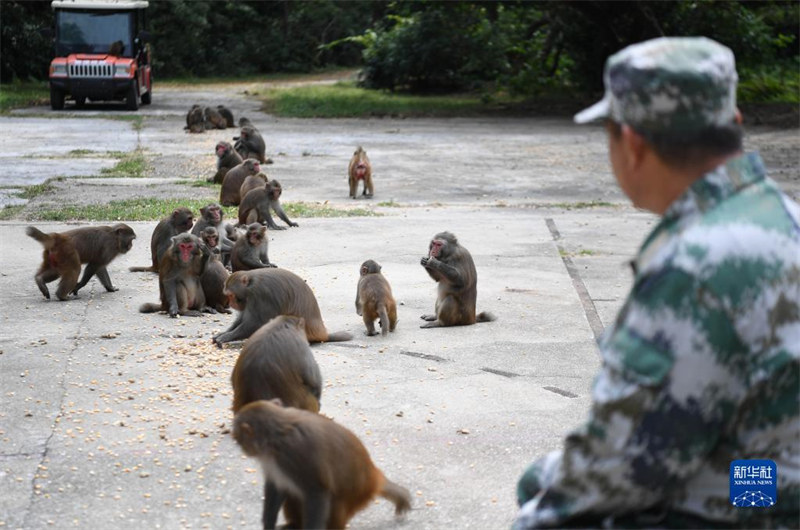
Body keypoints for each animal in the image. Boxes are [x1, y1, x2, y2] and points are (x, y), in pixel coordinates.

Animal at [230, 398, 410, 524]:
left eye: (238, 438)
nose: (241, 447)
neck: (276, 436)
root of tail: (373, 476)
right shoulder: (274, 460)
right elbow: (278, 486)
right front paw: (268, 521)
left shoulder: (294, 455)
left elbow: (317, 493)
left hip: (356, 496)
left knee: (333, 501)